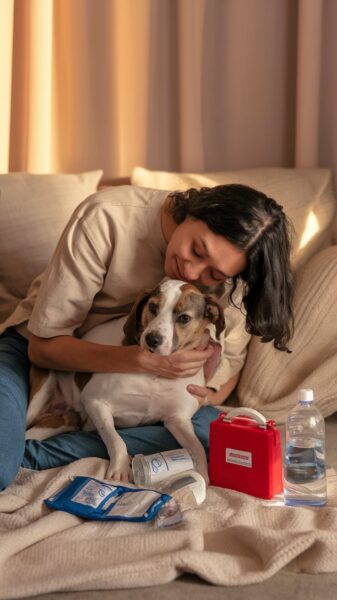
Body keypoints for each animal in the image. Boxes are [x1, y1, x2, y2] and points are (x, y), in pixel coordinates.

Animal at [26, 280, 223, 482]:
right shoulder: (95, 402)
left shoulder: (178, 420)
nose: (152, 339)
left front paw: (203, 477)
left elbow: (197, 447)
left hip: (62, 422)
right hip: (39, 397)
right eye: (153, 307)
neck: (156, 373)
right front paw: (120, 467)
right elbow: (116, 439)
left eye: (184, 318)